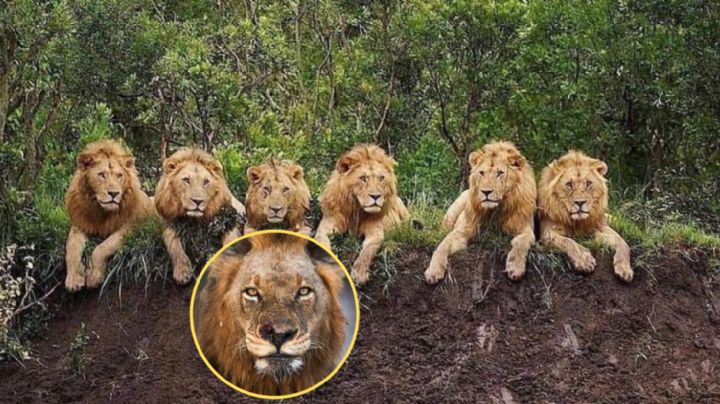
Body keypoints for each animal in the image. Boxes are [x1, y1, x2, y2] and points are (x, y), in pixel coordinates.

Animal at [64, 139, 154, 291]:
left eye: (119, 176)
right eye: (101, 175)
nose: (114, 193)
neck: (101, 212)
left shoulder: (132, 228)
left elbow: (102, 248)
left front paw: (94, 276)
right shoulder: (79, 225)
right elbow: (72, 249)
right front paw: (73, 279)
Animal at [154, 148, 246, 285]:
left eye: (206, 182)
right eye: (186, 180)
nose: (198, 201)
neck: (195, 220)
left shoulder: (230, 221)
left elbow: (231, 240)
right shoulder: (168, 224)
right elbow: (174, 245)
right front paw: (182, 272)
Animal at [314, 144, 409, 285]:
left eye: (381, 178)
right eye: (363, 178)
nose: (376, 196)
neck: (357, 210)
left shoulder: (375, 233)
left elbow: (366, 252)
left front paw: (359, 274)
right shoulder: (328, 223)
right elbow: (321, 240)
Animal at [424, 141, 537, 284]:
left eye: (500, 173)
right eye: (482, 173)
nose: (486, 192)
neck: (496, 210)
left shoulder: (525, 228)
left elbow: (521, 242)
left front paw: (515, 267)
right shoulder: (464, 229)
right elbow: (443, 244)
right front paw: (433, 270)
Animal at [538, 151, 632, 281]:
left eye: (588, 183)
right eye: (569, 184)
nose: (580, 203)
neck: (578, 222)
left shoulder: (598, 227)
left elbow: (622, 242)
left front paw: (624, 268)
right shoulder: (547, 232)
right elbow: (568, 242)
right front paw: (584, 260)